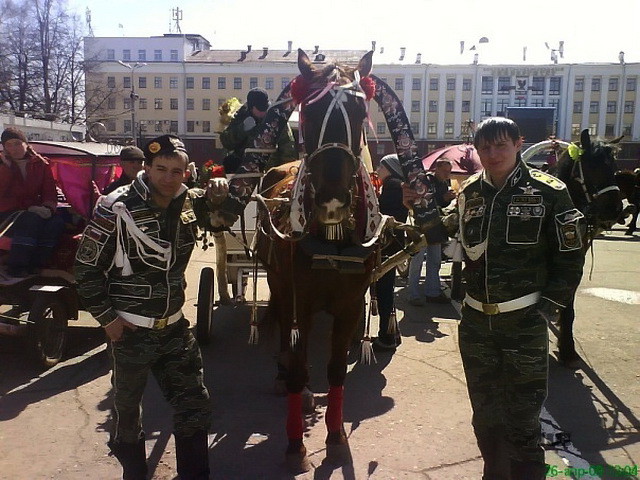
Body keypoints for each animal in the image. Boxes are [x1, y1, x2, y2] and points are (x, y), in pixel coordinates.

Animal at [524, 129, 624, 366]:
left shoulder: (574, 258)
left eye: (614, 167)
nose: (614, 210)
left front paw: (567, 347)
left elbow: (568, 302)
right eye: (592, 166)